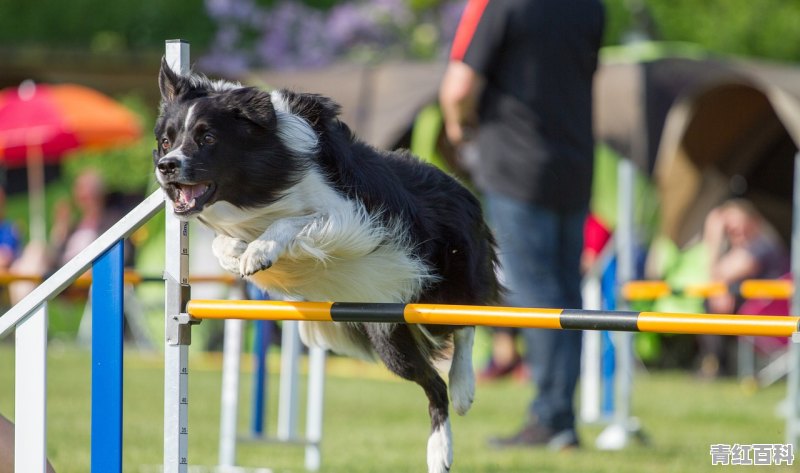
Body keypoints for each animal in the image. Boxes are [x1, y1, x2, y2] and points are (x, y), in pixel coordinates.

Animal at [153, 60, 496, 472]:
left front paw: (259, 250)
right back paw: (440, 446)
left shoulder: (350, 218)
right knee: (433, 382)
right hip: (388, 332)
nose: (166, 167)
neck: (262, 181)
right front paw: (237, 252)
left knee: (466, 325)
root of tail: (459, 185)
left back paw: (460, 398)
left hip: (439, 287)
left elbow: (294, 221)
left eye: (207, 138)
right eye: (167, 141)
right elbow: (222, 242)